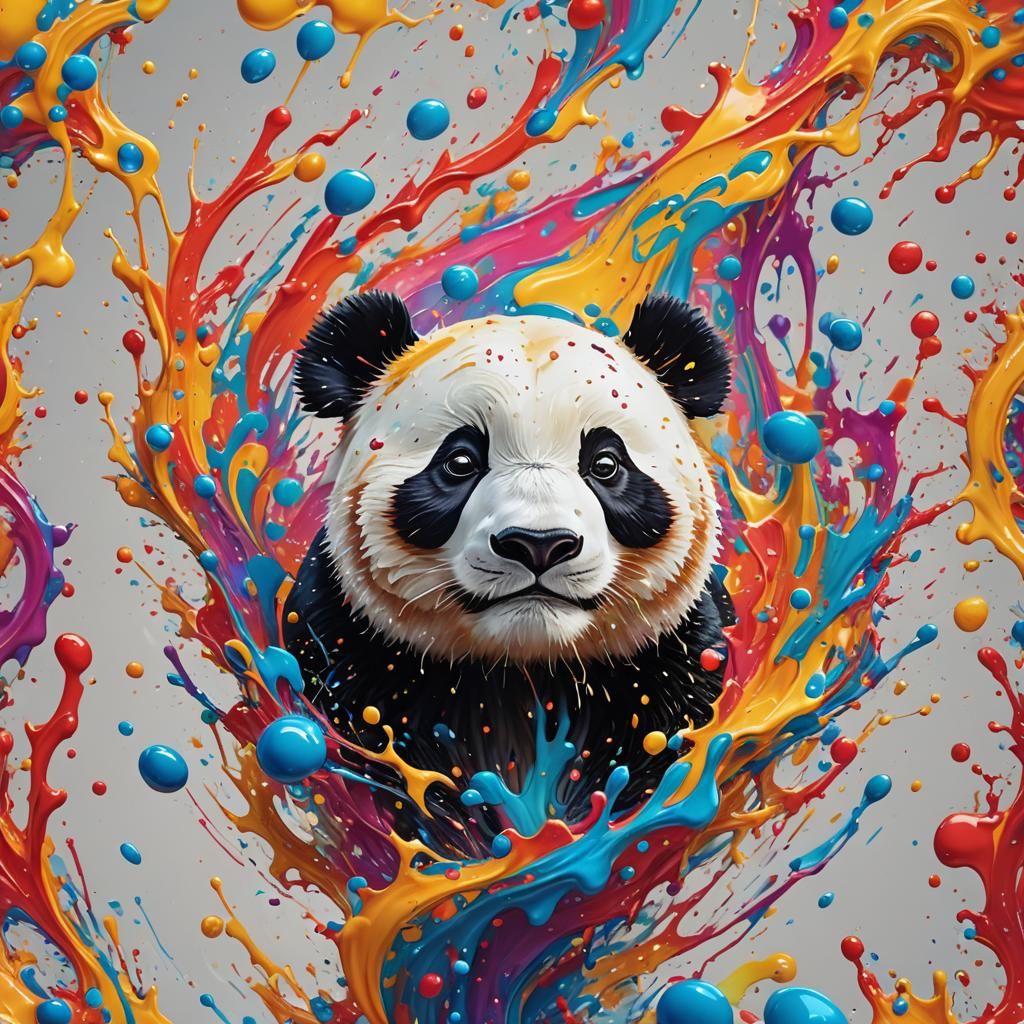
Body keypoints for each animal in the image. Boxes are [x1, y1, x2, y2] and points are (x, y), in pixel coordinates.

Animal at [283, 290, 733, 853]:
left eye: (605, 464)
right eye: (459, 462)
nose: (538, 544)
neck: (523, 667)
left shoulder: (666, 661)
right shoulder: (351, 652)